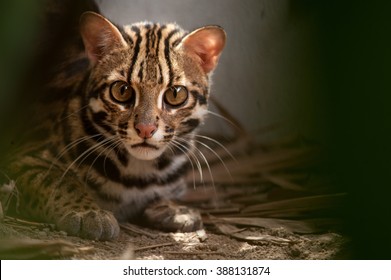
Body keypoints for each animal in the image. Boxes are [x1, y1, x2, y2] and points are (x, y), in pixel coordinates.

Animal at [4, 9, 227, 240]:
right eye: (122, 91)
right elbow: (59, 181)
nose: (145, 129)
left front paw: (174, 208)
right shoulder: (25, 156)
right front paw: (88, 212)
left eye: (175, 94)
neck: (139, 172)